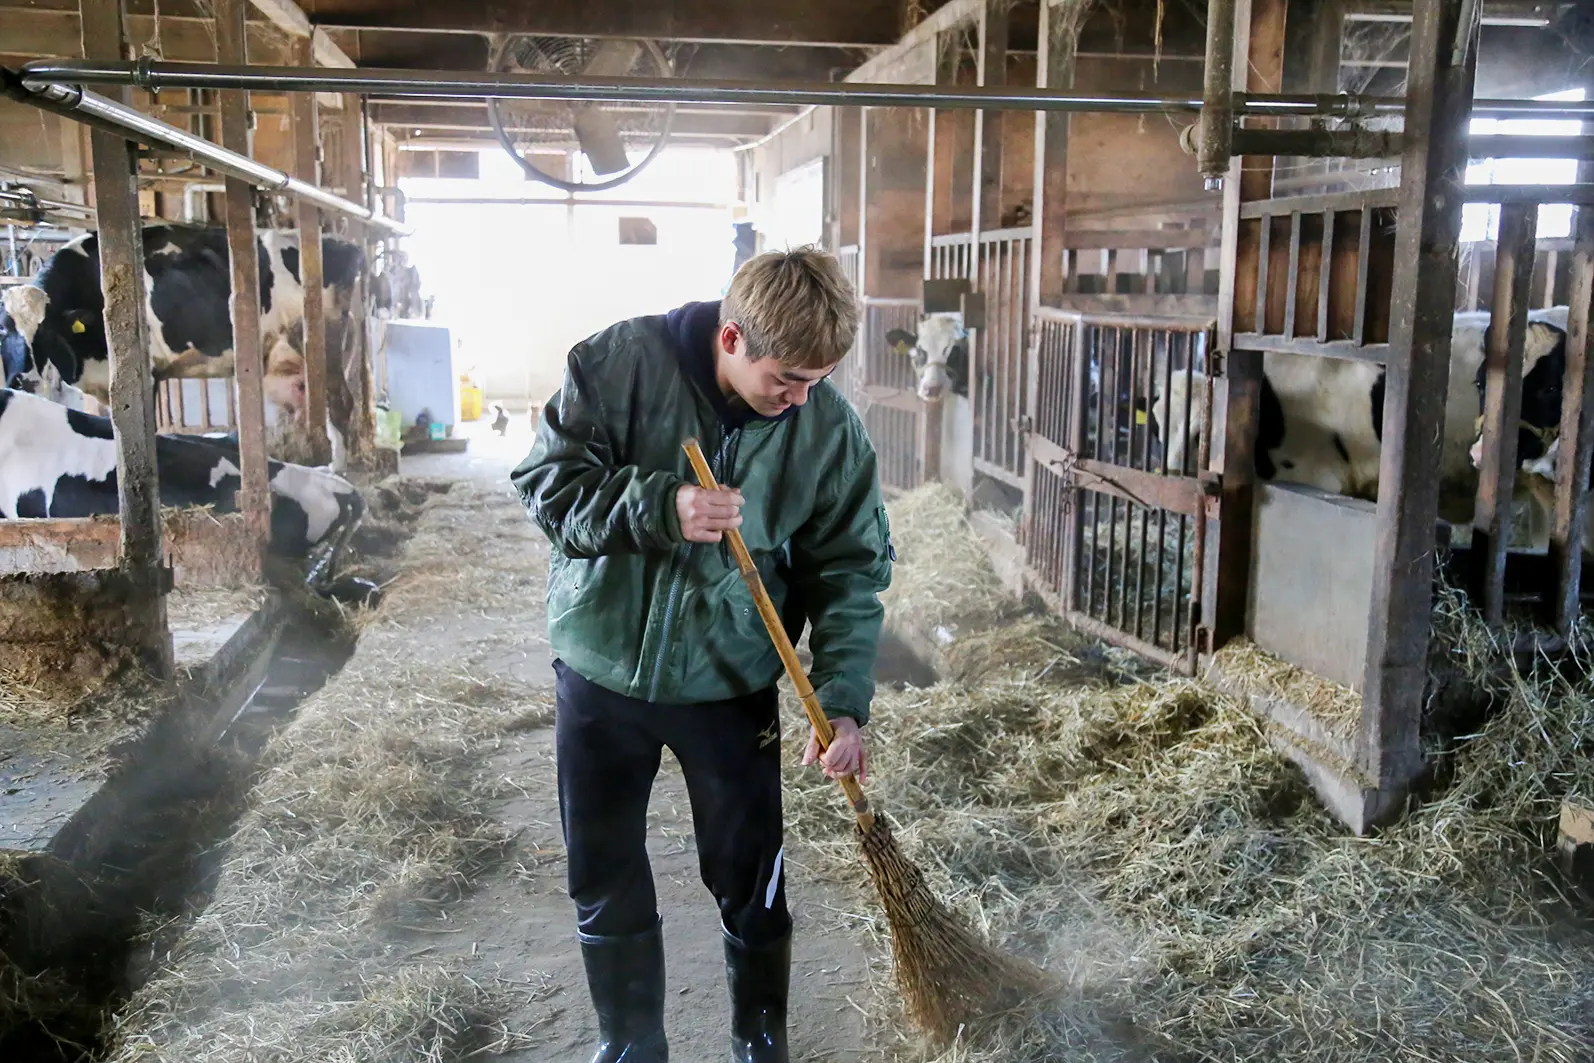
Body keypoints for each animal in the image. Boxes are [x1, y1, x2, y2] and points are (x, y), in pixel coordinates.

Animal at [0, 219, 365, 458]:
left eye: (45, 332)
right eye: (3, 329)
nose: (24, 380)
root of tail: (342, 242)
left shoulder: (143, 374)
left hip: (322, 343)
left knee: (341, 405)